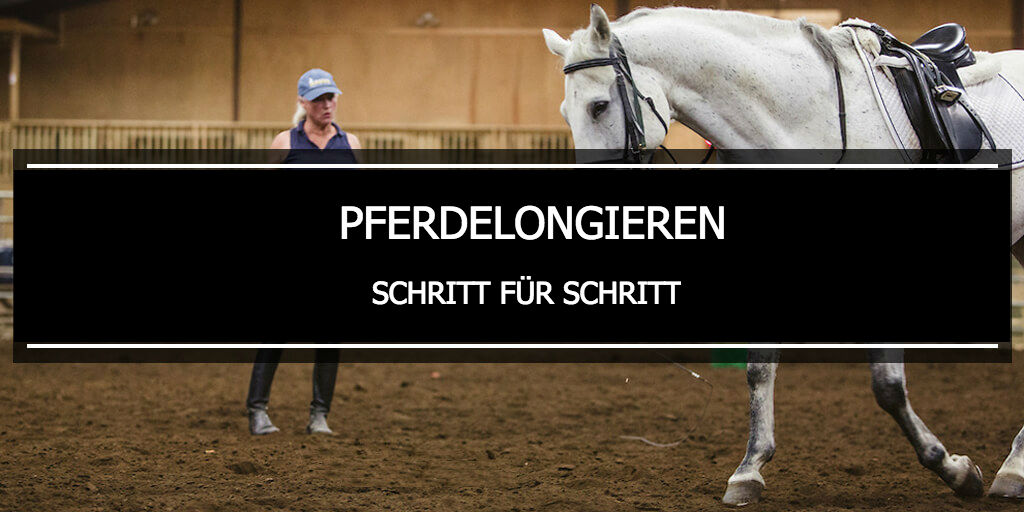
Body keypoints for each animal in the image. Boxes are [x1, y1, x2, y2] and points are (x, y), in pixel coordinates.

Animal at [542, 5, 1024, 506]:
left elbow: (887, 387)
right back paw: (1015, 470)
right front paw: (748, 470)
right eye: (566, 112)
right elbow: (758, 369)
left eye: (599, 106)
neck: (811, 124)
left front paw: (955, 471)